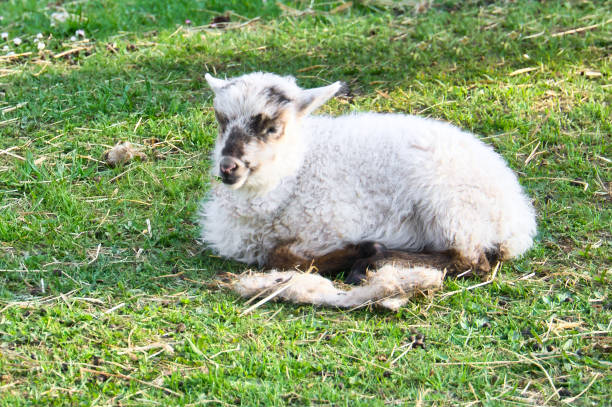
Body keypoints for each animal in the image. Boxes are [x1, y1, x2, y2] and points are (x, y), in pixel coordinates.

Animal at [201, 71, 536, 304]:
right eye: (221, 121)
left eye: (272, 128)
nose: (228, 166)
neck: (298, 169)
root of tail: (518, 218)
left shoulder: (332, 225)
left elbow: (279, 257)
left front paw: (360, 251)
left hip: (449, 206)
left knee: (471, 261)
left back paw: (370, 262)